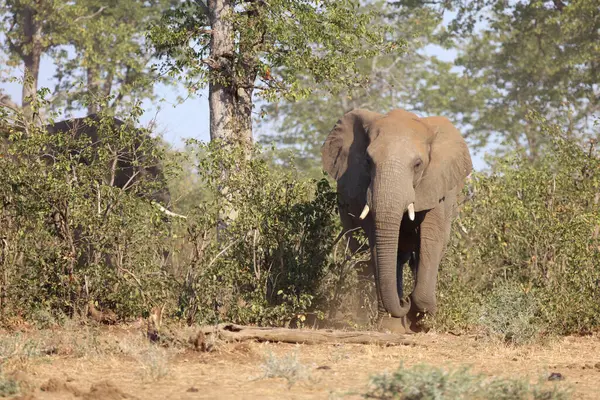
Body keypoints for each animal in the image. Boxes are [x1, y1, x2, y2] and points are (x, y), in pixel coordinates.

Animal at [322, 108, 472, 332]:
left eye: (418, 164)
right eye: (368, 161)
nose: (404, 302)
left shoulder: (437, 185)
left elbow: (432, 240)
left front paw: (421, 321)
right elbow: (378, 243)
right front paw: (395, 324)